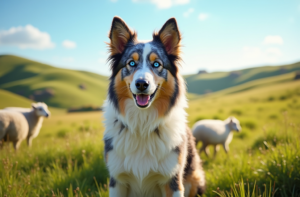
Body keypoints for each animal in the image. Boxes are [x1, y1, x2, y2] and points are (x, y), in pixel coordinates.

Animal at [103, 16, 206, 196]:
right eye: (131, 63)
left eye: (157, 64)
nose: (142, 84)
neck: (142, 124)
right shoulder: (117, 180)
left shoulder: (173, 180)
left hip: (195, 178)